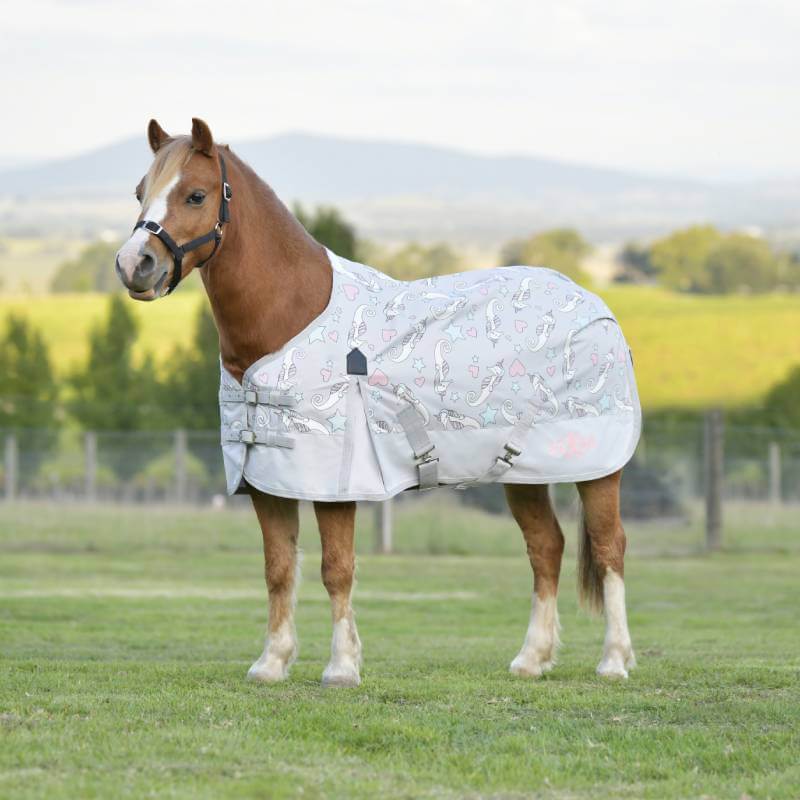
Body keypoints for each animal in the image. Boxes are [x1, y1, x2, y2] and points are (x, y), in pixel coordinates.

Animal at [114, 118, 637, 686]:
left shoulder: (334, 484)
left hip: (597, 470)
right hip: (523, 474)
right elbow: (279, 569)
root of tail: (592, 302)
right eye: (141, 192)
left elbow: (336, 569)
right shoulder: (267, 481)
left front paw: (342, 666)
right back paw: (531, 659)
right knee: (546, 548)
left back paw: (614, 660)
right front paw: (271, 662)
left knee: (608, 548)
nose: (134, 264)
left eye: (196, 194)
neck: (291, 315)